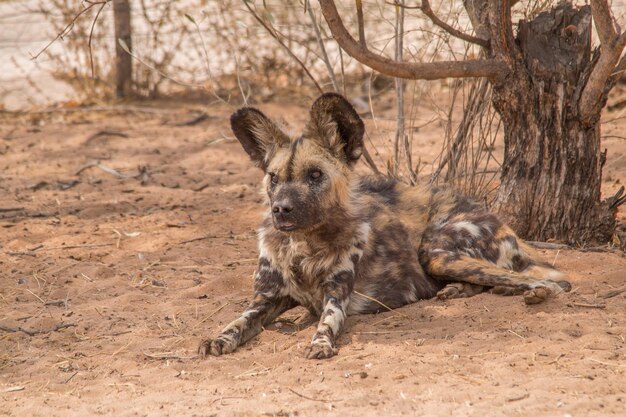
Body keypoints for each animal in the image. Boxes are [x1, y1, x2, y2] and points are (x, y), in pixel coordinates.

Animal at [196, 92, 572, 360]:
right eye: (274, 179)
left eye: (315, 175)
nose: (281, 209)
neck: (302, 247)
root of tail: (491, 214)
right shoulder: (266, 298)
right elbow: (238, 320)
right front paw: (218, 338)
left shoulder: (336, 296)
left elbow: (326, 321)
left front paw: (320, 344)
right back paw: (459, 291)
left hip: (436, 251)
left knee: (549, 281)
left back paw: (529, 293)